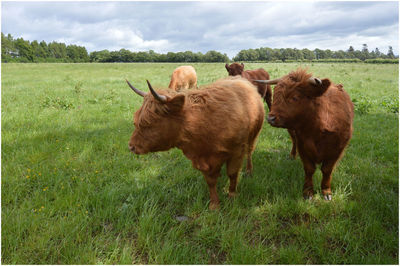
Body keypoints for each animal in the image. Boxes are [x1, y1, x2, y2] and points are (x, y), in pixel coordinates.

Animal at [126, 76, 264, 210]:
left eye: (148, 122)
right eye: (136, 121)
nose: (131, 146)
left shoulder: (236, 152)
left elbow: (232, 174)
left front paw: (232, 197)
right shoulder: (202, 159)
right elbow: (210, 181)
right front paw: (214, 205)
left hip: (253, 135)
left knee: (250, 152)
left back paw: (249, 171)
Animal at [256, 68, 354, 200]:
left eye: (295, 97)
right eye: (275, 94)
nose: (270, 118)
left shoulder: (337, 150)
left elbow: (327, 170)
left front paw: (326, 191)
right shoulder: (303, 146)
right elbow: (309, 169)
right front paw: (308, 192)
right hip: (292, 130)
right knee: (294, 141)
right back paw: (292, 155)